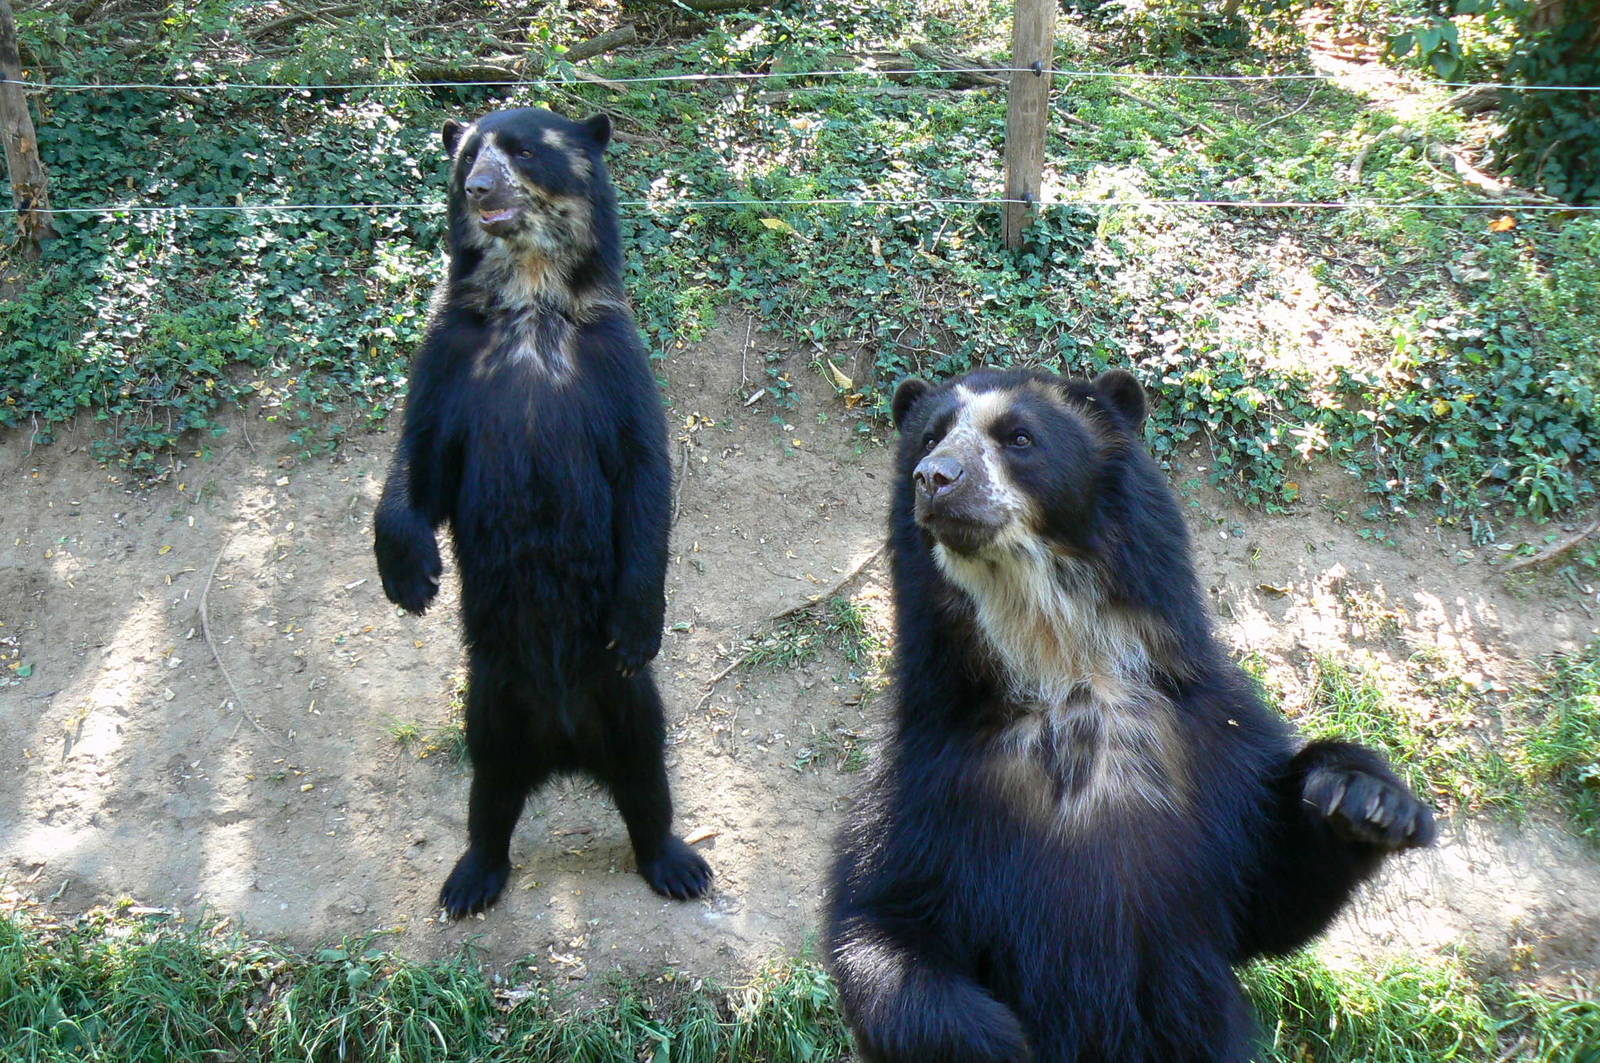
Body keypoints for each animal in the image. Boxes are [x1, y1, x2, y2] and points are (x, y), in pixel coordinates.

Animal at [373, 106, 711, 917]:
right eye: (468, 154)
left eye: (523, 150)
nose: (479, 188)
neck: (530, 301)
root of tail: (562, 747)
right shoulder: (451, 352)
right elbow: (420, 458)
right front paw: (411, 577)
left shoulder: (614, 359)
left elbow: (645, 475)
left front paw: (638, 621)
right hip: (492, 701)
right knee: (489, 790)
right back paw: (472, 876)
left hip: (626, 700)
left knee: (646, 773)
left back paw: (676, 862)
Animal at [824, 367, 1434, 1063]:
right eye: (929, 437)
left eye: (1019, 437)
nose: (935, 478)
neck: (1064, 674)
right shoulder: (931, 773)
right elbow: (880, 918)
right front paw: (995, 1037)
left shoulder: (1207, 741)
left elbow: (1269, 894)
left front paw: (1367, 801)